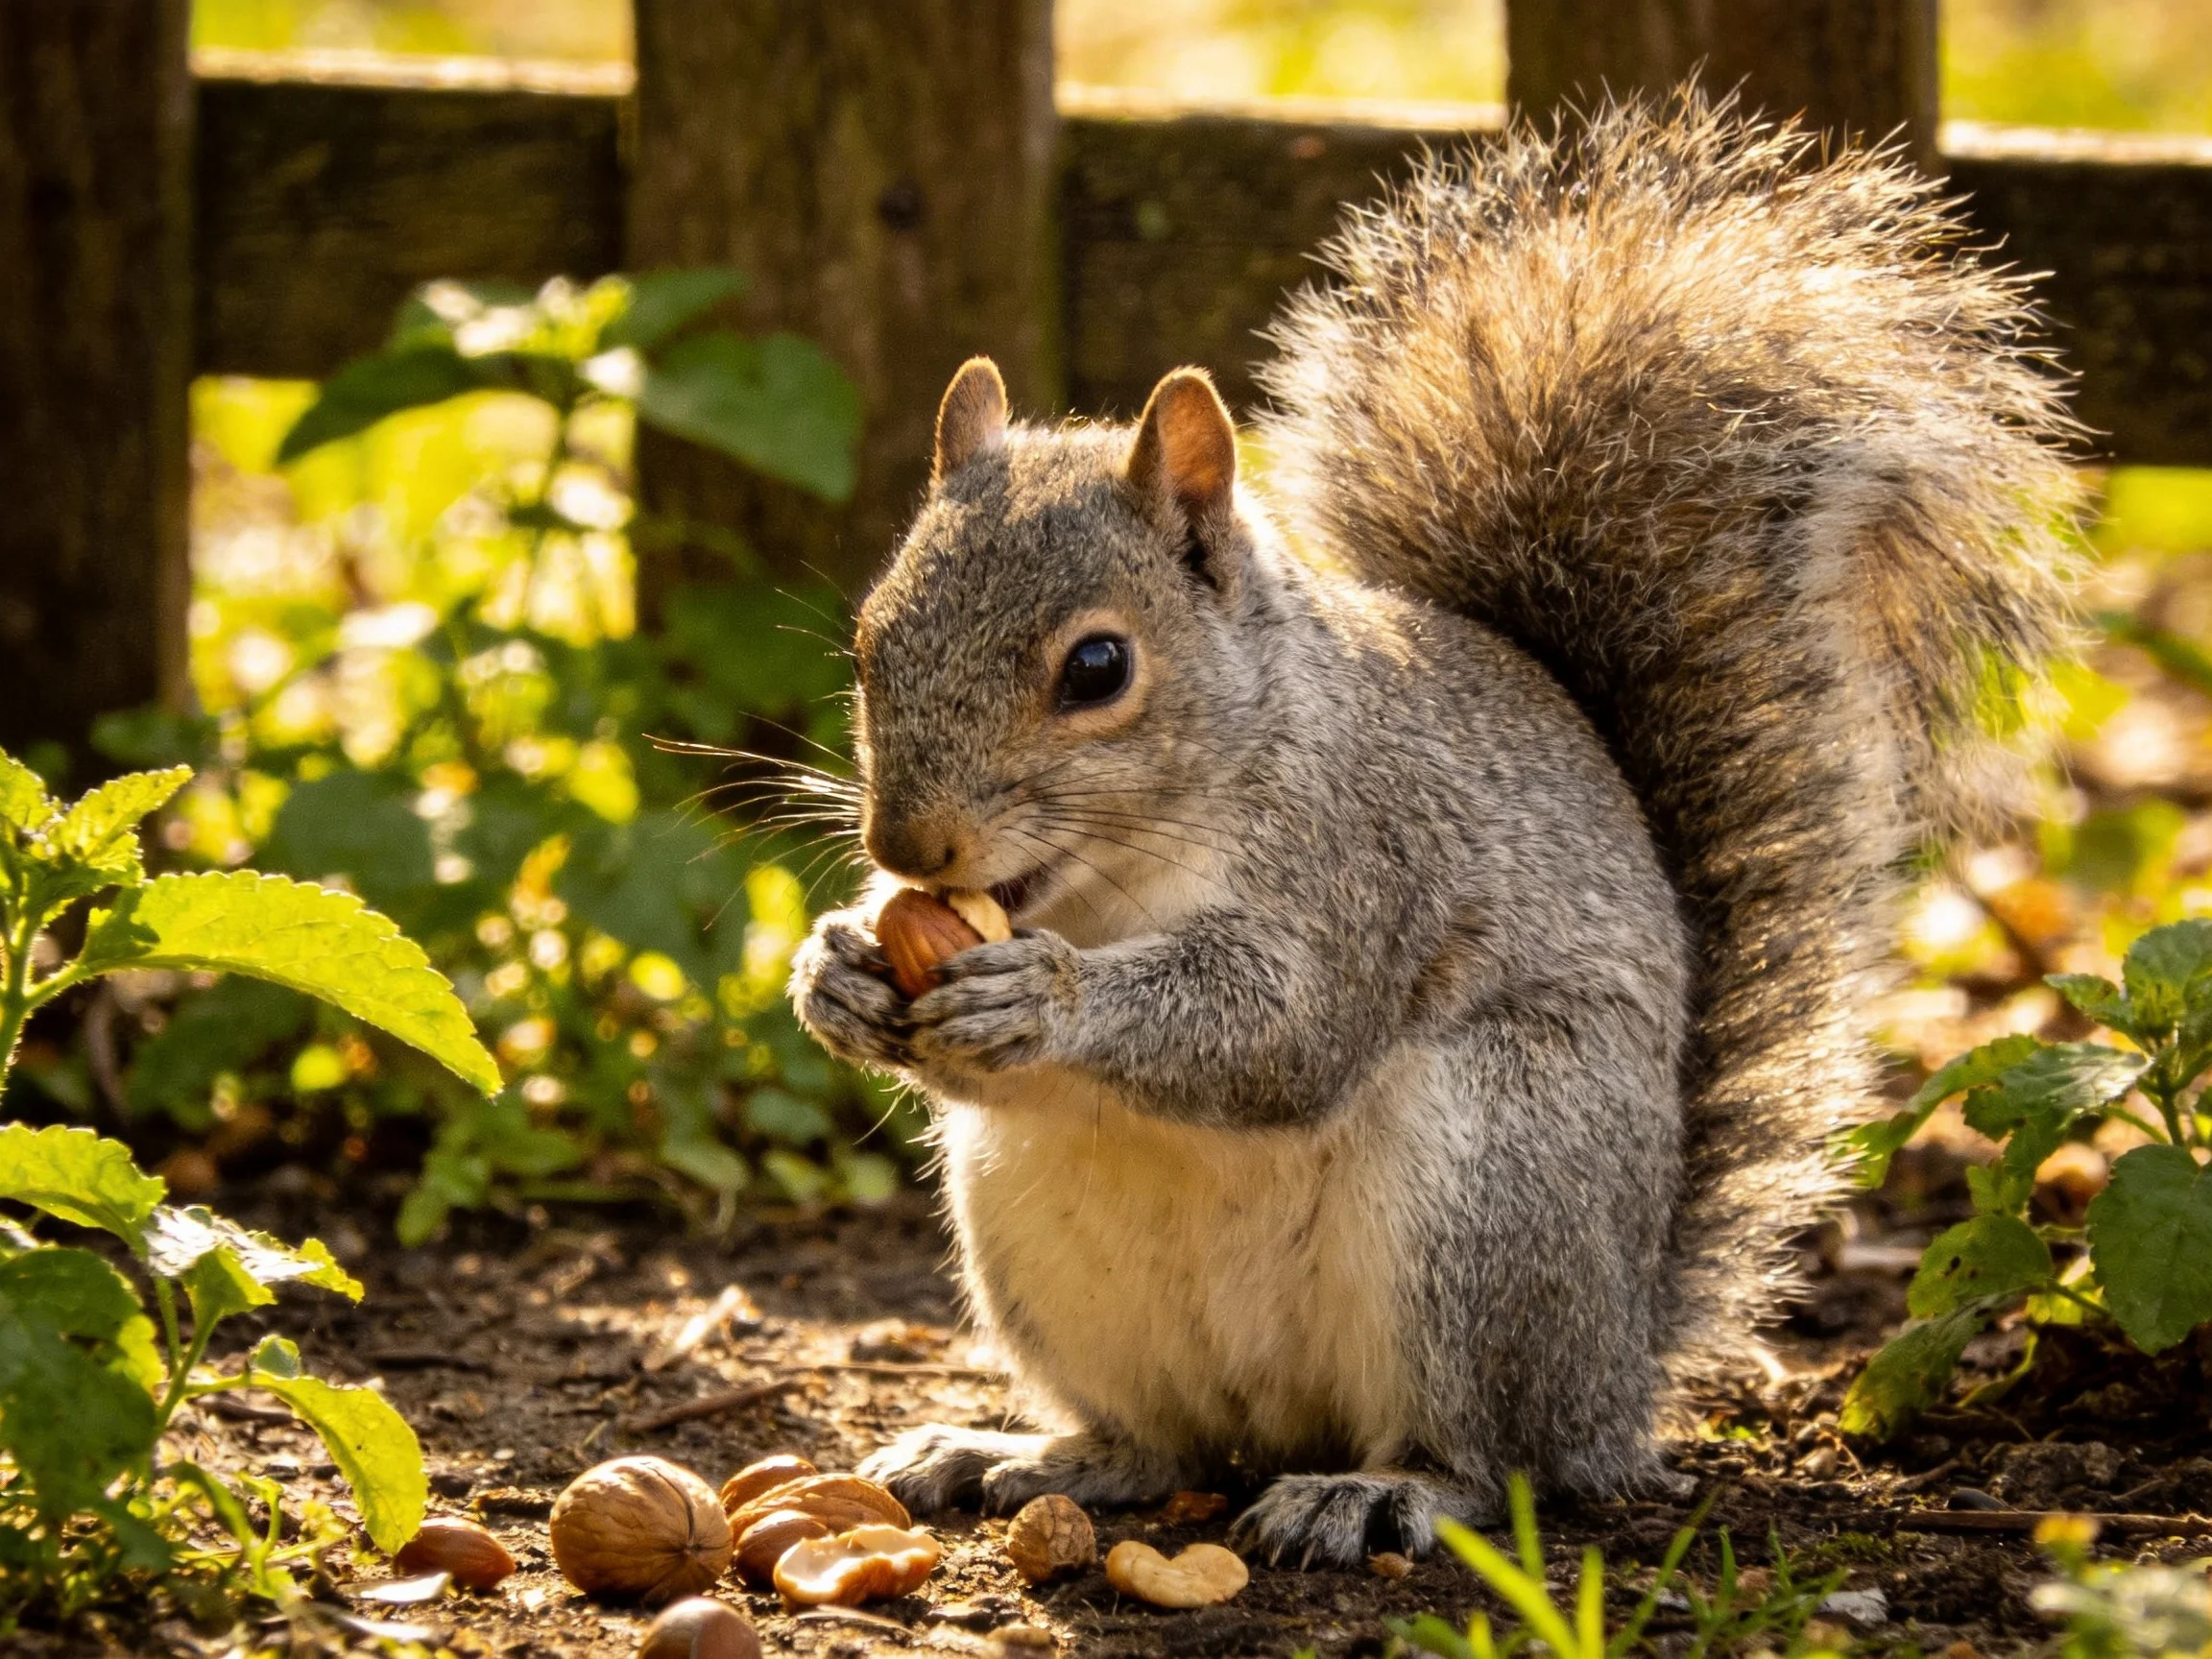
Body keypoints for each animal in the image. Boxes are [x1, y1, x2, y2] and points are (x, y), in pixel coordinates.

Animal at [788, 94, 2080, 1568]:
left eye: (1099, 669)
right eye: (871, 639)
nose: (910, 851)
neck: (1121, 878)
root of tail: (1621, 1366)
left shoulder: (1368, 858)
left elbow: (1281, 1030)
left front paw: (1043, 997)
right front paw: (835, 969)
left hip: (1491, 1190)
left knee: (1495, 1458)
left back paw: (1380, 1491)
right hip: (1038, 1241)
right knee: (1164, 1444)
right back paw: (1021, 1450)